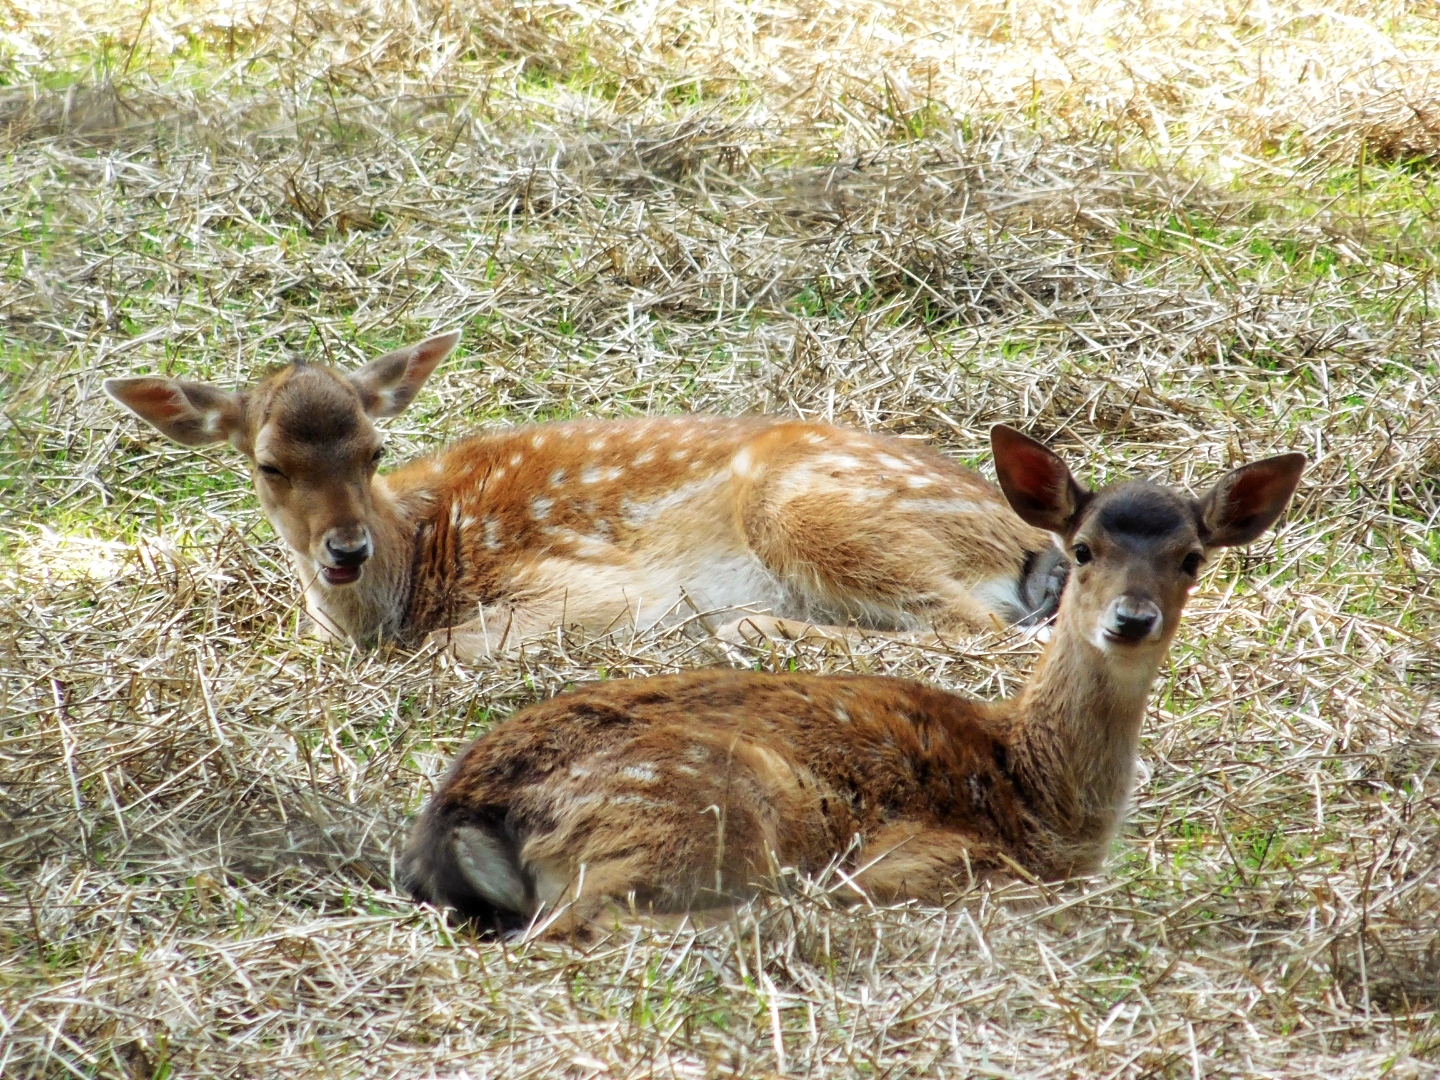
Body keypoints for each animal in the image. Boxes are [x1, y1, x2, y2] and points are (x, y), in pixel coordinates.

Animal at [104, 329, 1071, 656]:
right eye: (269, 465)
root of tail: (1037, 546)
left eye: (375, 450)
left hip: (805, 508)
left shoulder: (599, 585)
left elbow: (453, 647)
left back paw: (750, 630)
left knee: (982, 633)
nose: (345, 550)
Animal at [403, 426, 1307, 933]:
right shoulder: (929, 856)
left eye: (1192, 559)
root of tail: (461, 817)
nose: (1131, 619)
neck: (1044, 795)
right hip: (698, 807)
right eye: (1086, 548)